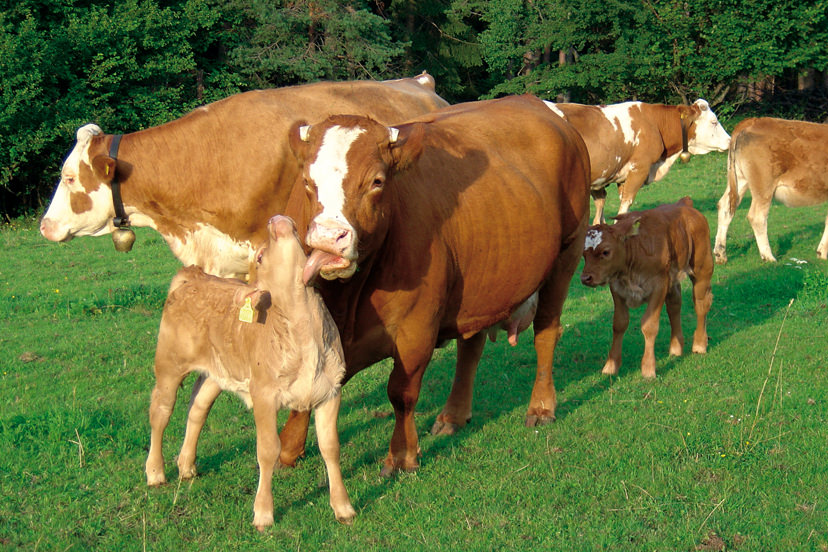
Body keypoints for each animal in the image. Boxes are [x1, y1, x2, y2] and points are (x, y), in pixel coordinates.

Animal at [282, 95, 592, 474]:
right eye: (307, 182)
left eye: (377, 181)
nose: (328, 239)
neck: (346, 301)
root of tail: (541, 105)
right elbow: (305, 385)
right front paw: (288, 448)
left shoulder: (416, 328)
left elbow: (401, 392)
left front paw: (402, 455)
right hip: (479, 287)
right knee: (470, 348)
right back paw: (453, 416)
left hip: (567, 253)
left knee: (546, 332)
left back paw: (542, 406)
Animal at [584, 198, 712, 380]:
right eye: (583, 254)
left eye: (606, 251)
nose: (585, 278)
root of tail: (685, 204)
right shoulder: (617, 289)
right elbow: (619, 324)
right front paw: (611, 365)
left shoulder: (659, 286)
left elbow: (649, 325)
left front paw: (648, 368)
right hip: (673, 278)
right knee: (674, 306)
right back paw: (676, 347)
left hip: (702, 268)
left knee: (701, 304)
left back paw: (700, 344)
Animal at [712, 116, 828, 264]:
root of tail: (753, 121)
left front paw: (821, 252)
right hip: (763, 187)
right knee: (757, 217)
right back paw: (768, 257)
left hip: (740, 180)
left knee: (725, 207)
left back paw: (720, 254)